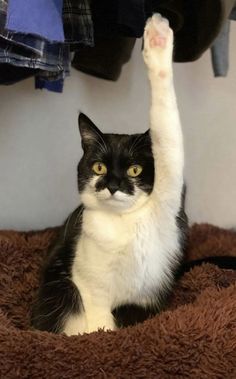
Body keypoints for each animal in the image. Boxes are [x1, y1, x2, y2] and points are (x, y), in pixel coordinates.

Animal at [31, 14, 187, 336]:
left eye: (134, 169)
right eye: (99, 167)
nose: (113, 185)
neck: (121, 222)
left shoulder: (167, 209)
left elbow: (167, 134)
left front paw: (158, 41)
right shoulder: (86, 285)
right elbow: (96, 315)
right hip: (57, 287)